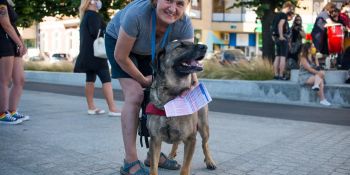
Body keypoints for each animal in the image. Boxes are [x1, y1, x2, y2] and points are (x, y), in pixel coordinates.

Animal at [146, 40, 216, 175]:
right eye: (181, 46)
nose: (204, 46)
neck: (170, 98)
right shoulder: (155, 140)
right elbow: (153, 167)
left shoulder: (190, 139)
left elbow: (185, 168)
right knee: (176, 142)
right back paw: (171, 155)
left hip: (204, 127)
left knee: (205, 144)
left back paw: (210, 161)